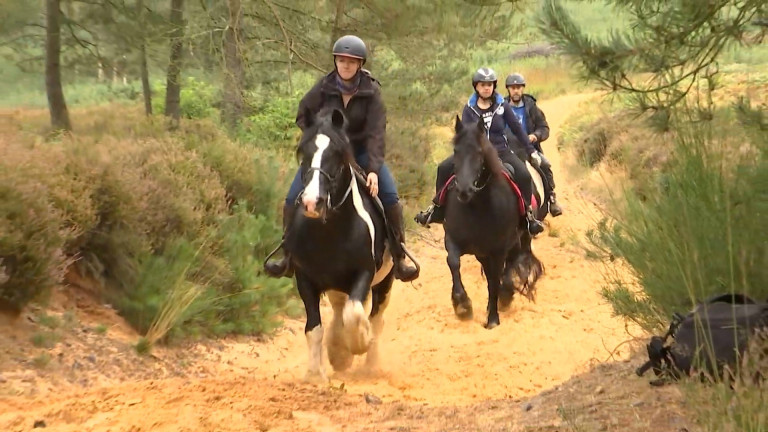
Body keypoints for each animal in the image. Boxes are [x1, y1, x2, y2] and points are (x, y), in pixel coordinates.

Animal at [268, 107, 396, 382]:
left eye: (337, 155)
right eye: (303, 153)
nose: (311, 202)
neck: (330, 232)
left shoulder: (364, 273)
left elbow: (355, 314)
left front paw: (358, 343)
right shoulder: (305, 278)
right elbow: (314, 328)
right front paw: (316, 374)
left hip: (386, 280)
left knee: (375, 318)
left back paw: (369, 364)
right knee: (339, 309)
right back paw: (338, 353)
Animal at [440, 115, 544, 328]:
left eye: (480, 152)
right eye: (456, 151)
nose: (464, 190)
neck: (476, 208)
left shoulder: (498, 250)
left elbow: (496, 280)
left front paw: (493, 318)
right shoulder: (453, 240)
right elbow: (453, 262)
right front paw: (462, 305)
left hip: (516, 241)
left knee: (508, 266)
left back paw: (504, 297)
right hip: (483, 253)